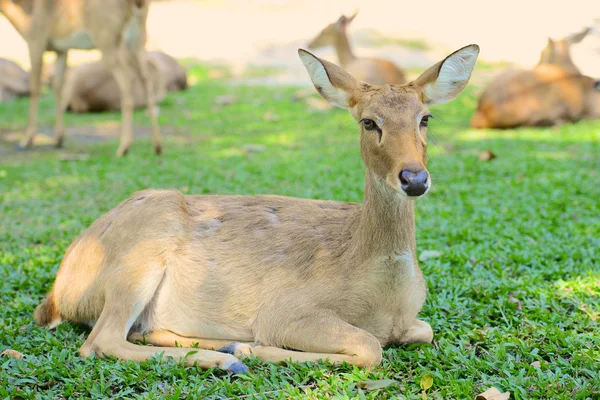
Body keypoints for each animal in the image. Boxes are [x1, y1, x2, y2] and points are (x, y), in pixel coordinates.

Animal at [0, 0, 162, 156]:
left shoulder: (36, 41)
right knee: (146, 80)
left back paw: (123, 148)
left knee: (126, 80)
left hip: (110, 41)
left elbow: (35, 88)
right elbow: (58, 86)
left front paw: (26, 140)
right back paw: (157, 147)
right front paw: (58, 139)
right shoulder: (61, 50)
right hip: (138, 41)